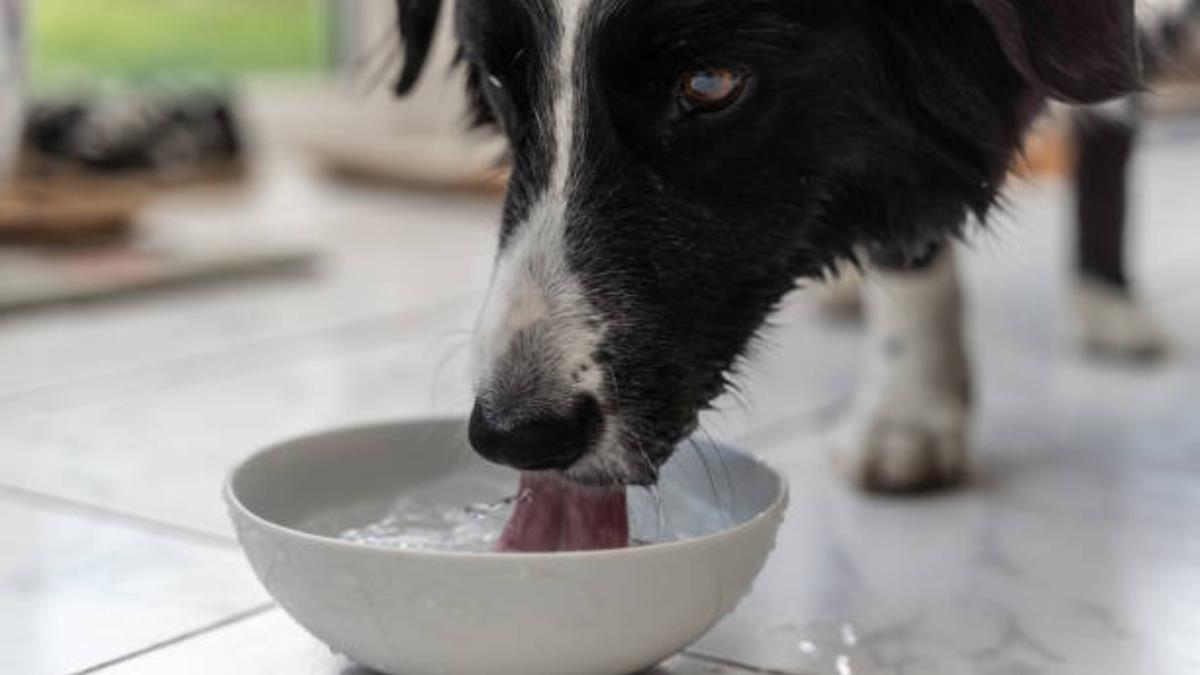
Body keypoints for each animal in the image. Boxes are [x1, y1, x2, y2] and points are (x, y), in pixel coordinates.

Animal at [396, 2, 1200, 492]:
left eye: (711, 83)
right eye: (498, 77)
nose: (514, 437)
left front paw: (908, 411)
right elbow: (907, 240)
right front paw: (908, 412)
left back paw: (1106, 299)